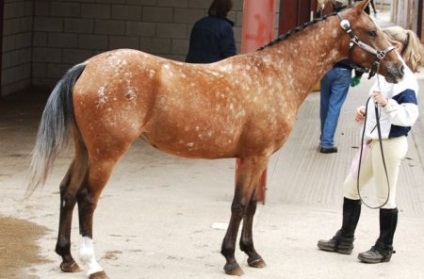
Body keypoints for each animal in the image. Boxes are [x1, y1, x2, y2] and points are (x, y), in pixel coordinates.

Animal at [26, 1, 404, 278]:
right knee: (87, 199)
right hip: (106, 153)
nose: (399, 68)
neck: (276, 73)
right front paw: (231, 259)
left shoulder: (259, 157)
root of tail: (88, 66)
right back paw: (93, 264)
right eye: (372, 31)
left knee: (67, 192)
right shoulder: (253, 156)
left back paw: (67, 258)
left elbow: (250, 205)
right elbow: (238, 205)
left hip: (86, 150)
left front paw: (252, 254)